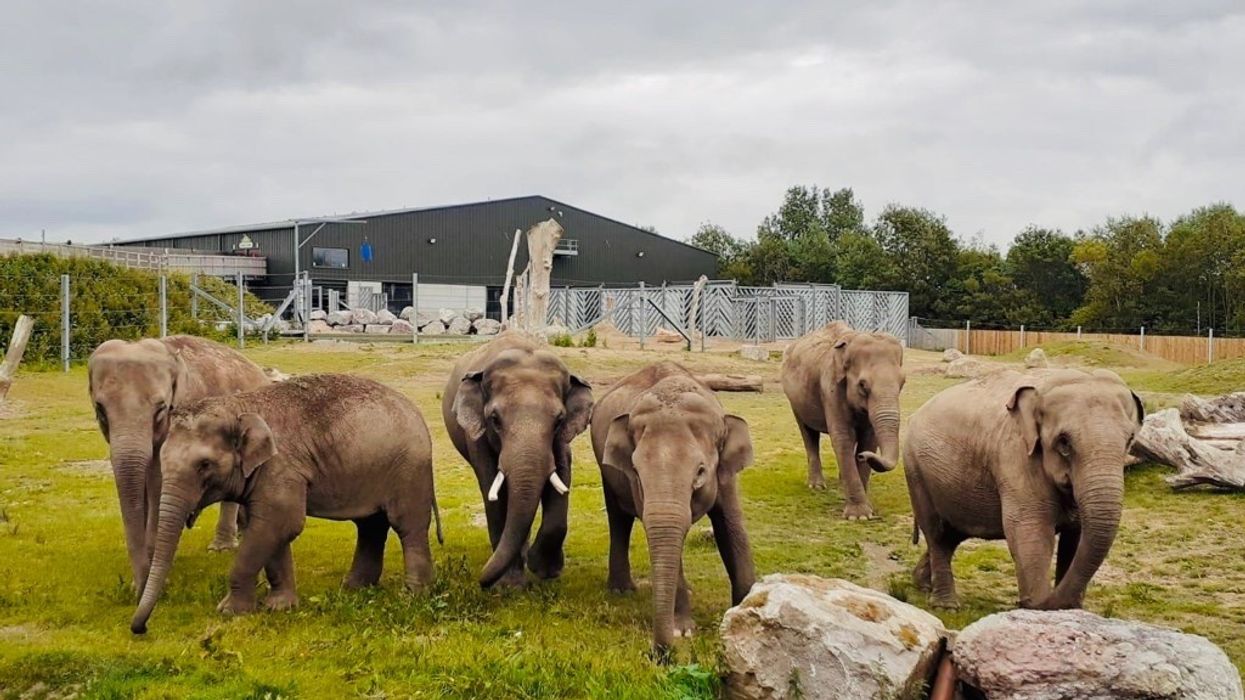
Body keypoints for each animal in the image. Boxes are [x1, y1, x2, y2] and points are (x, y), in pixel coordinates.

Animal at [130, 374, 441, 633]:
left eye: (204, 465)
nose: (140, 628)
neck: (239, 407)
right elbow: (269, 528)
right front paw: (280, 607)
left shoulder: (280, 467)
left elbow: (281, 523)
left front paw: (230, 611)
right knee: (370, 526)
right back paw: (354, 589)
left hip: (408, 469)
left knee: (407, 526)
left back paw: (412, 595)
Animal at [442, 332, 592, 588]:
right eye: (494, 419)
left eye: (559, 420)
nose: (481, 582)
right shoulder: (477, 437)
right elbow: (493, 488)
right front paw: (509, 585)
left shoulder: (562, 439)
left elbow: (562, 474)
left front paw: (544, 570)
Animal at [591, 362, 756, 655]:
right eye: (636, 471)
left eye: (700, 471)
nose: (660, 653)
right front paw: (683, 631)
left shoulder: (725, 476)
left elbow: (731, 528)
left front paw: (746, 610)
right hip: (606, 469)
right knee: (618, 519)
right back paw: (622, 591)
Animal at [780, 321, 905, 519]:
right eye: (863, 385)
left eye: (902, 383)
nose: (862, 457)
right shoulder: (830, 388)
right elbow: (843, 438)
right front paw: (859, 516)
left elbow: (869, 440)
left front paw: (866, 509)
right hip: (795, 401)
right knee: (808, 434)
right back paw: (816, 486)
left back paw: (840, 484)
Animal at [903, 368, 1144, 610]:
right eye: (1064, 442)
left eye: (1130, 439)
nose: (1024, 601)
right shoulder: (1016, 456)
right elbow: (1030, 528)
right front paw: (1037, 605)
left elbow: (1076, 537)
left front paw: (1070, 609)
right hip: (916, 471)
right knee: (936, 533)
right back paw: (946, 606)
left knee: (952, 534)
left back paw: (922, 584)